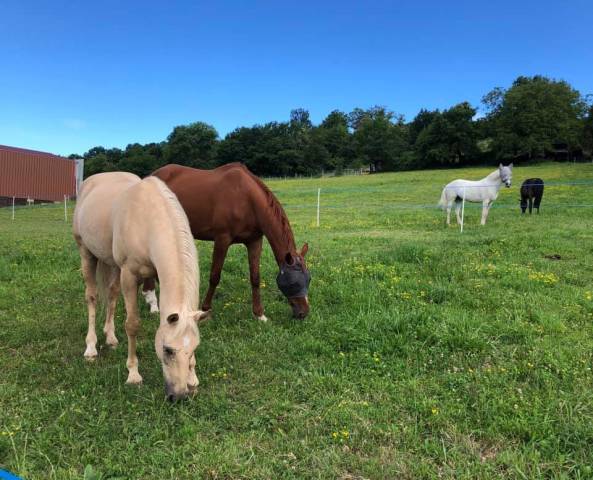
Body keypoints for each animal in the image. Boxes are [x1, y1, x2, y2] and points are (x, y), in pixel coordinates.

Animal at [73, 172, 207, 402]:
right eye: (167, 350)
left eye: (193, 348)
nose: (178, 396)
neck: (148, 221)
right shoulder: (129, 276)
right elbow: (132, 324)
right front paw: (133, 374)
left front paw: (193, 378)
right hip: (86, 253)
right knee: (92, 297)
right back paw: (90, 348)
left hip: (112, 264)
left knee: (111, 295)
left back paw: (110, 337)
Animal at [142, 163, 310, 320]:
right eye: (294, 282)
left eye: (309, 279)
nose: (303, 313)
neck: (247, 199)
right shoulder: (222, 239)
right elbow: (214, 276)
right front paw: (205, 310)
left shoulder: (255, 241)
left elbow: (255, 277)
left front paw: (259, 314)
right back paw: (153, 303)